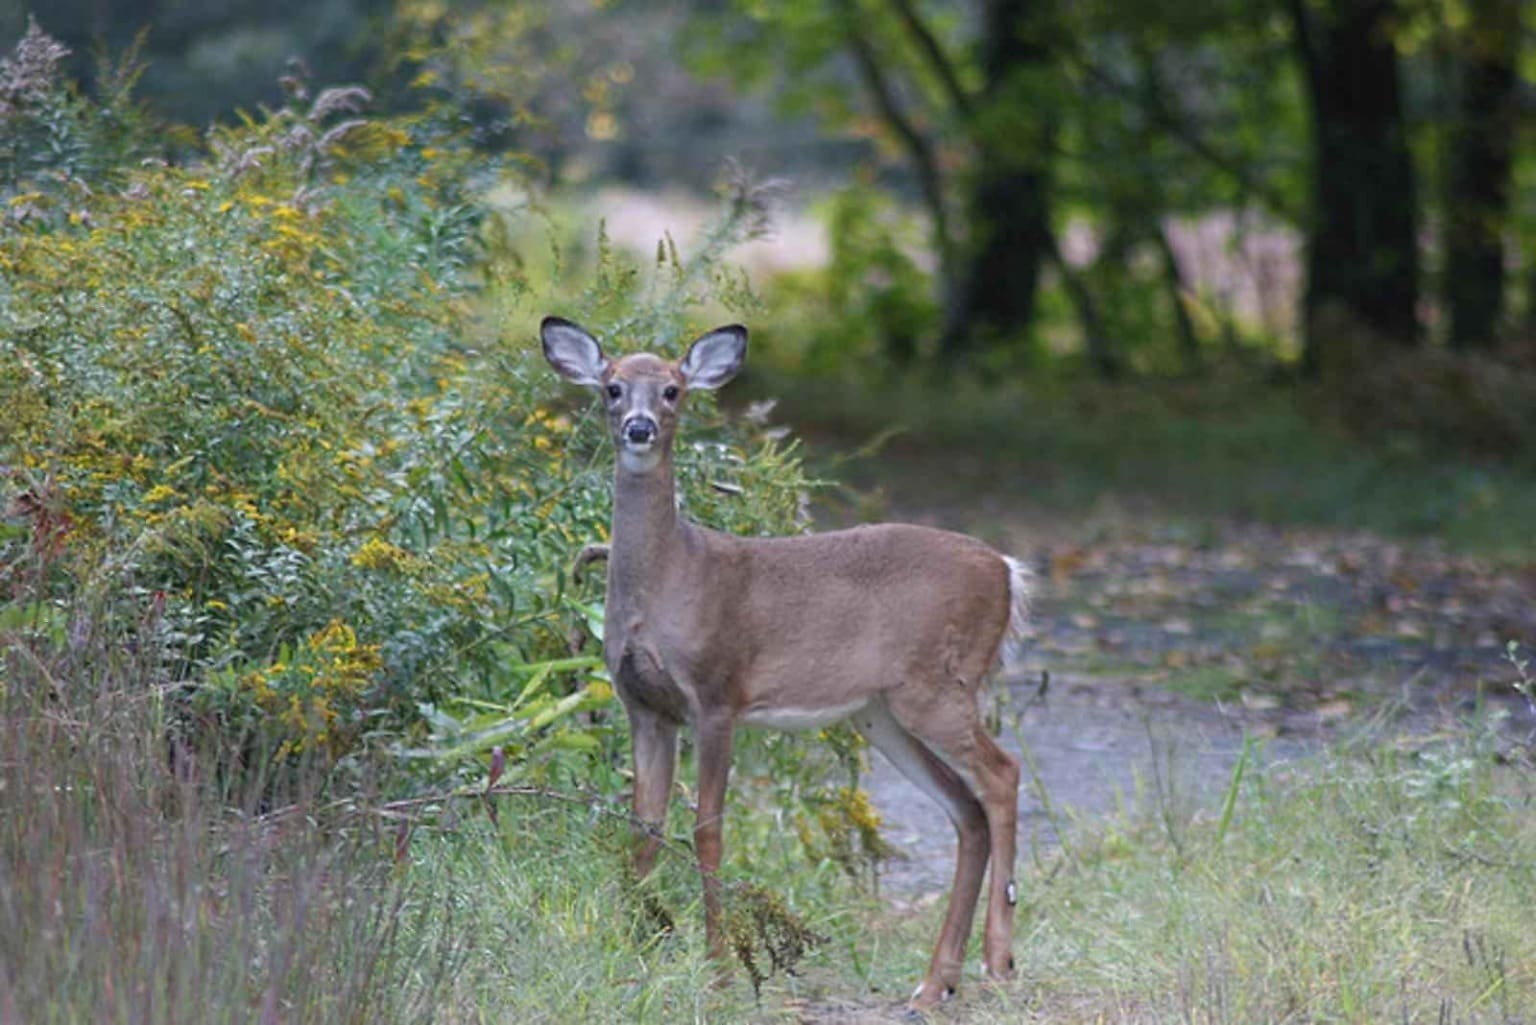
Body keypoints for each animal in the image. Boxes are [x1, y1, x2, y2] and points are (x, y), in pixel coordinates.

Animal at [540, 315, 1032, 1008]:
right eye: (612, 387)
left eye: (672, 390)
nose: (639, 427)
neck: (669, 580)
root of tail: (1008, 571)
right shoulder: (644, 706)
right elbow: (644, 826)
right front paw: (631, 946)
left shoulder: (718, 693)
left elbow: (708, 830)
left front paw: (718, 967)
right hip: (881, 713)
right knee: (966, 810)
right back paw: (935, 983)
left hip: (938, 684)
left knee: (1002, 775)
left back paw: (998, 960)